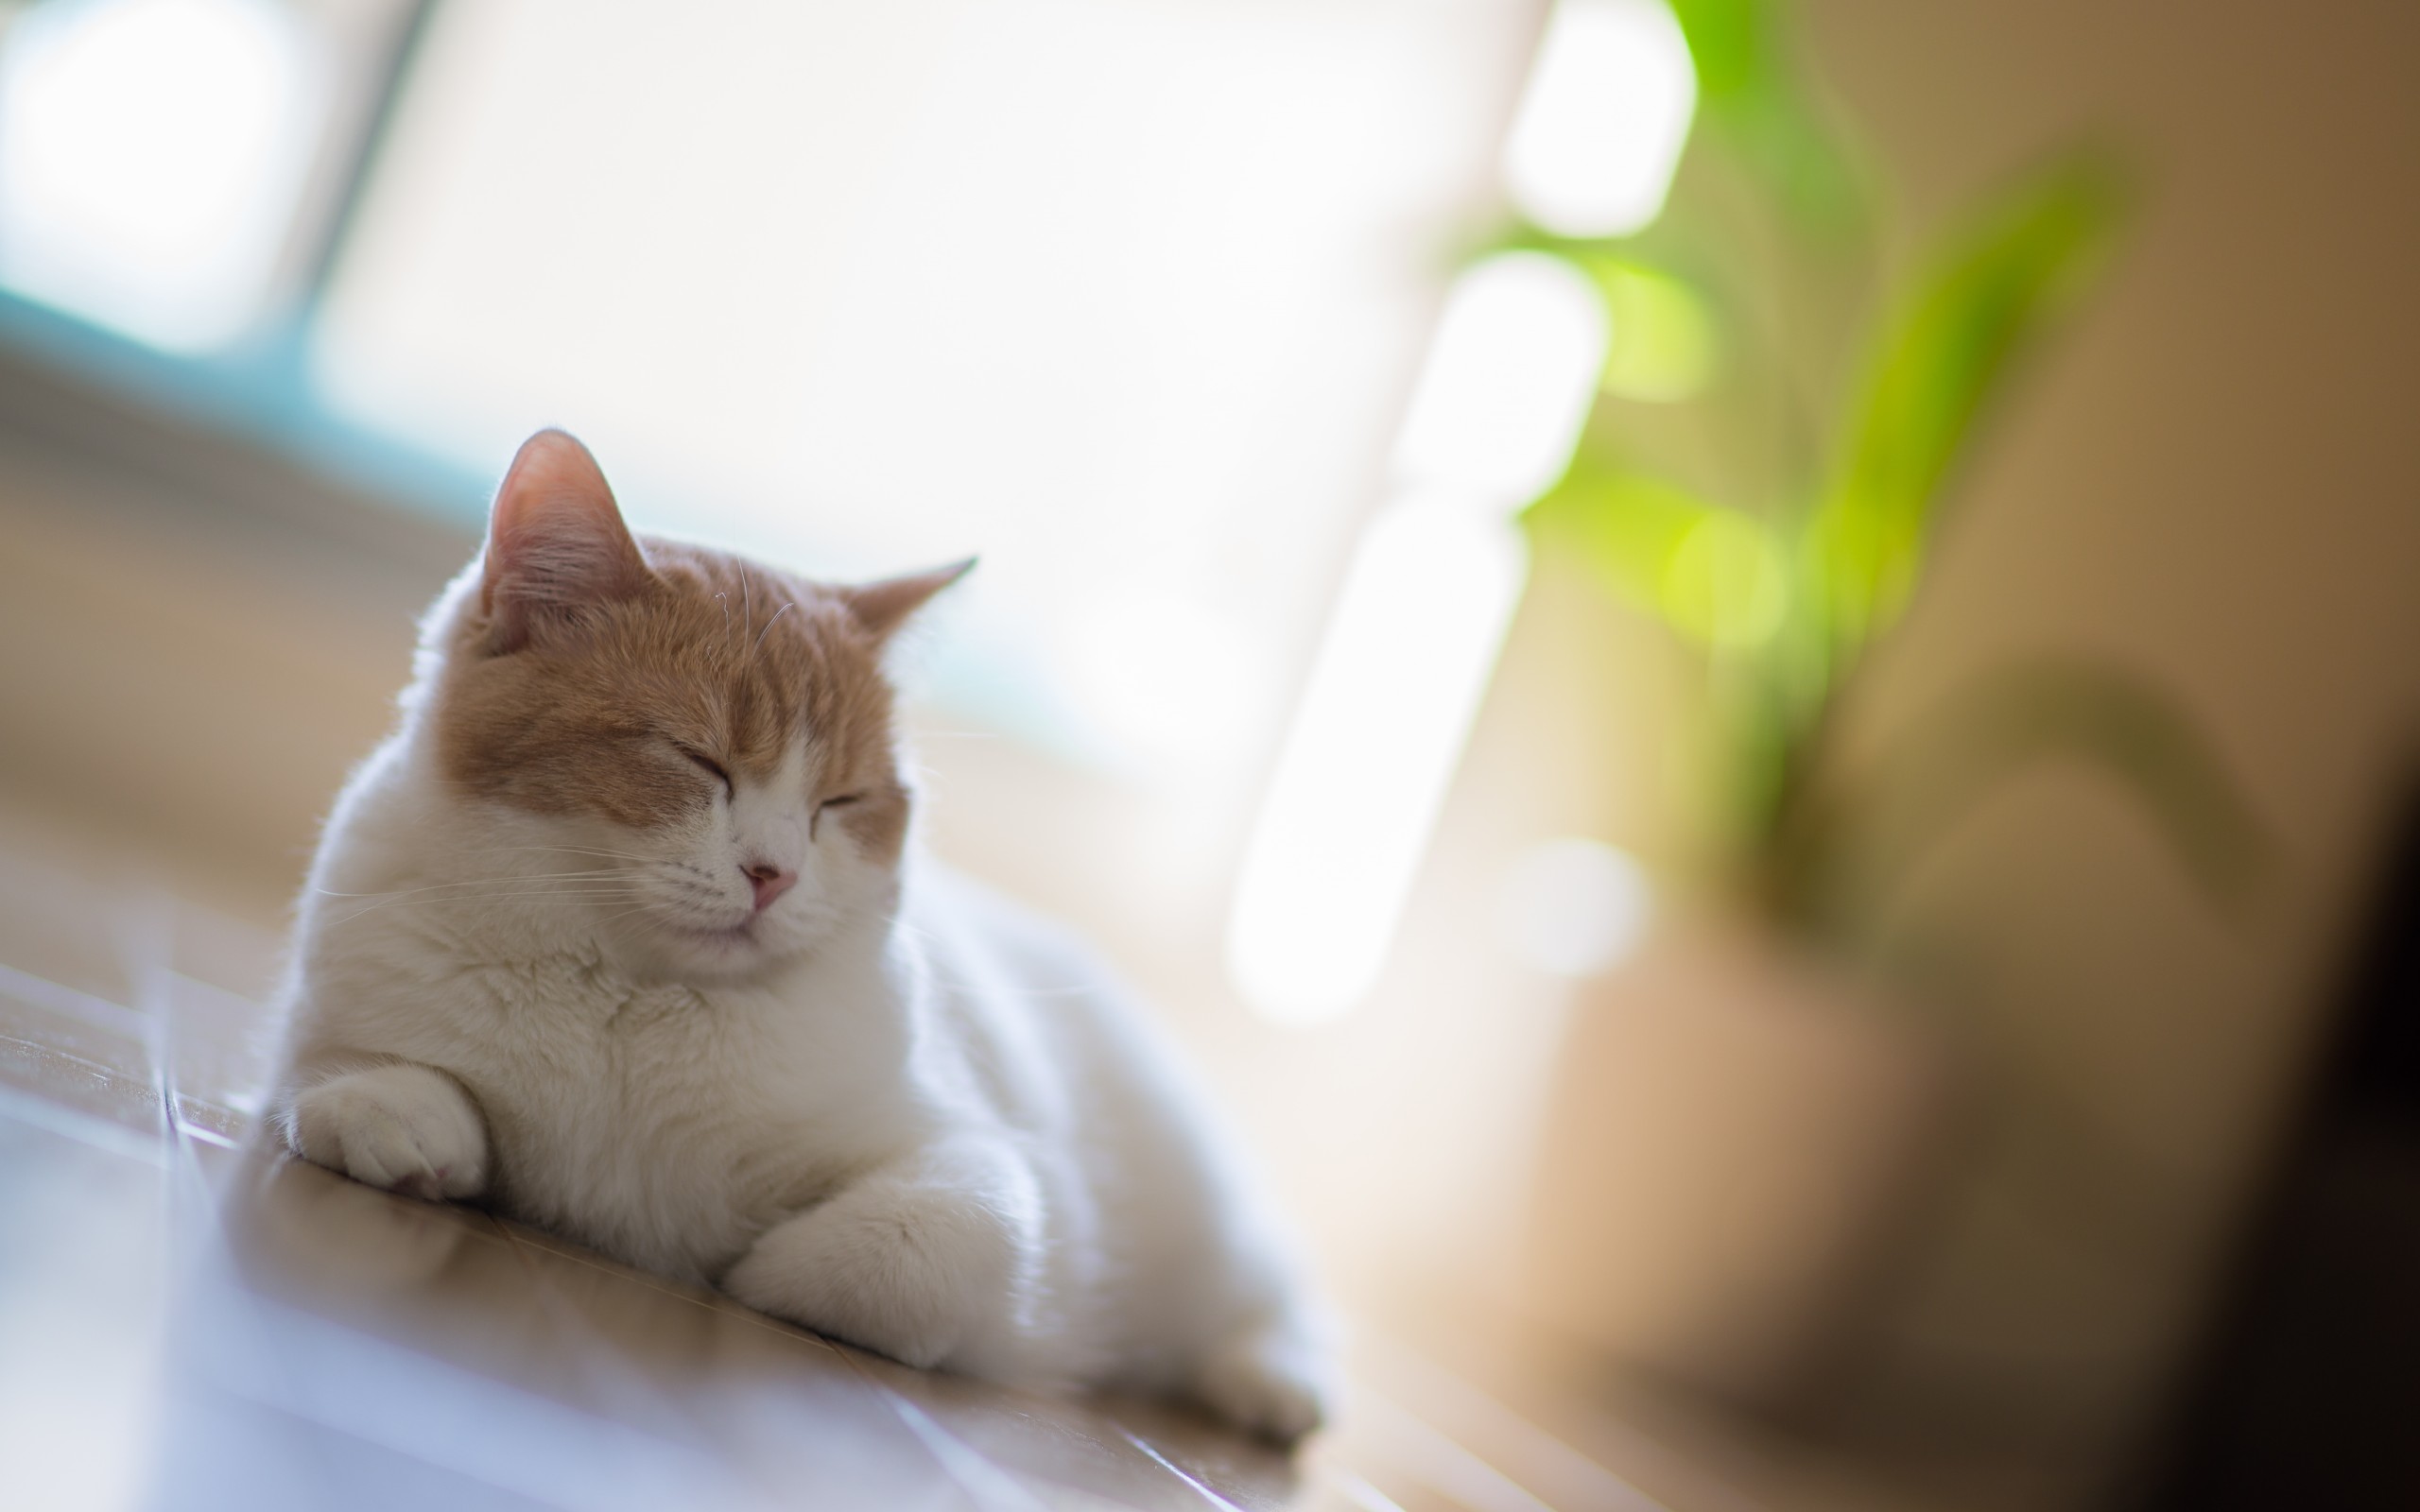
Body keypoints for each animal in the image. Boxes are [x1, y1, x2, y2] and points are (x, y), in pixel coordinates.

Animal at [274, 428, 1336, 1441]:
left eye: (841, 801)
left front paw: (749, 1268)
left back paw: (1274, 1384)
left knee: (1270, 1299)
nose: (773, 872)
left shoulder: (979, 1158)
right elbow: (367, 1087)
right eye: (697, 760)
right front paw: (399, 1115)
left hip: (1199, 1222)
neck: (632, 1002)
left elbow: (916, 1246)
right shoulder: (330, 1020)